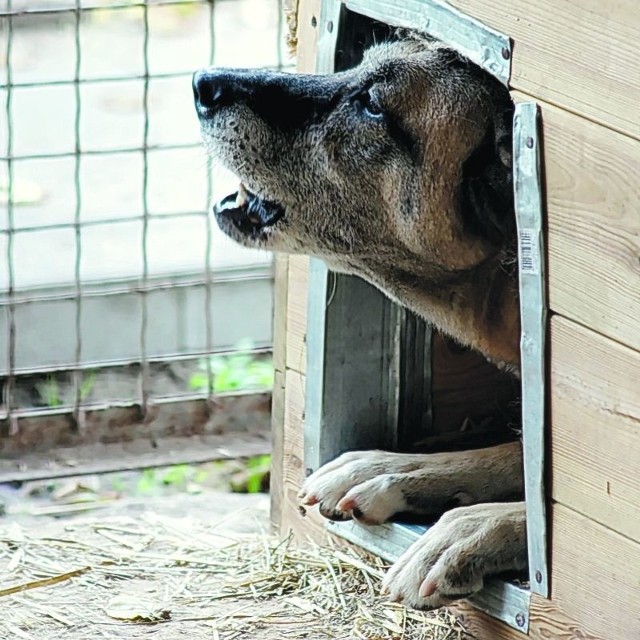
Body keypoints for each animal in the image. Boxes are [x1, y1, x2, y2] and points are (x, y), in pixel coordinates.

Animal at [192, 35, 528, 608]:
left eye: (372, 105)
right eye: (358, 66)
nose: (201, 83)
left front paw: (472, 528)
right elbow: (514, 454)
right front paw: (393, 469)